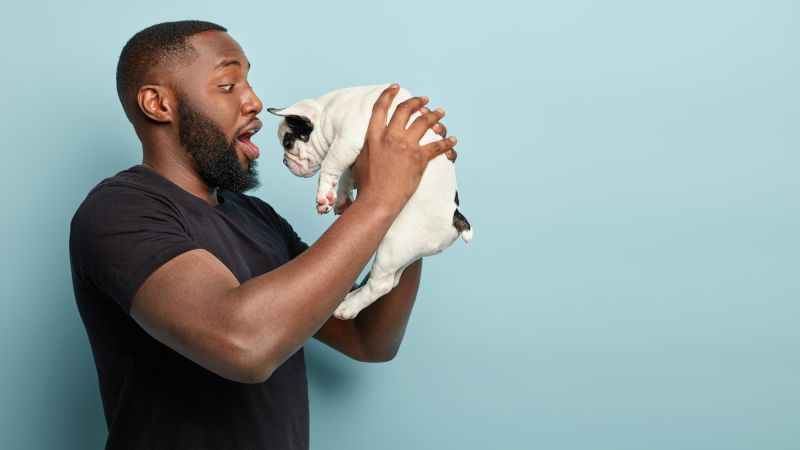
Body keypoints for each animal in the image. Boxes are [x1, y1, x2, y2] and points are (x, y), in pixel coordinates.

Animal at [268, 82, 472, 318]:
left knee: (381, 285)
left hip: (395, 244)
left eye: (288, 142)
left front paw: (323, 197)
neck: (329, 108)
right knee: (392, 281)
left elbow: (330, 164)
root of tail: (455, 219)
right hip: (404, 253)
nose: (284, 161)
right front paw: (341, 199)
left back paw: (347, 308)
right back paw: (351, 297)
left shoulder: (346, 143)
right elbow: (347, 176)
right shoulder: (353, 156)